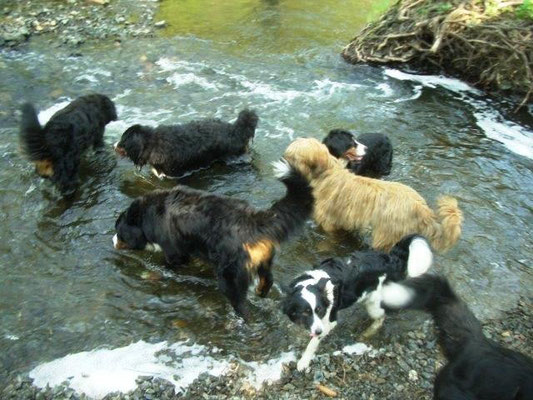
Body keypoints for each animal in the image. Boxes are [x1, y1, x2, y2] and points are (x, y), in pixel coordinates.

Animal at [112, 158, 312, 320]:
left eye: (119, 232)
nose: (112, 241)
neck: (148, 216)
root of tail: (253, 220)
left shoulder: (174, 252)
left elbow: (168, 265)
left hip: (230, 276)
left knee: (240, 304)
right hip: (263, 259)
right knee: (267, 278)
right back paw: (260, 291)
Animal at [282, 138, 462, 250]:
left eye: (292, 154)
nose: (282, 158)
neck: (326, 172)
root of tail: (421, 206)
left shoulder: (329, 223)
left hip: (386, 233)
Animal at [282, 234, 432, 372]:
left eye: (320, 310)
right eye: (305, 313)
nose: (319, 331)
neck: (313, 283)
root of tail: (393, 259)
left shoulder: (329, 321)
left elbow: (312, 343)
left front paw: (304, 361)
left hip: (375, 303)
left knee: (381, 318)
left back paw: (367, 333)